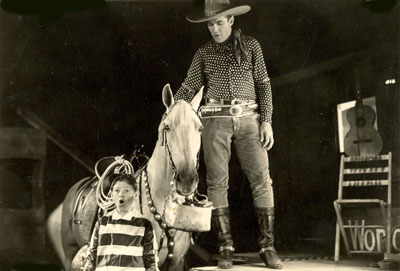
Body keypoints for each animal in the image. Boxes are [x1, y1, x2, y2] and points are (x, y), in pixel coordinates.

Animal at [46, 84, 203, 270]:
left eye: (200, 128)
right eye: (167, 127)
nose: (187, 179)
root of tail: (77, 186)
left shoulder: (176, 263)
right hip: (70, 254)